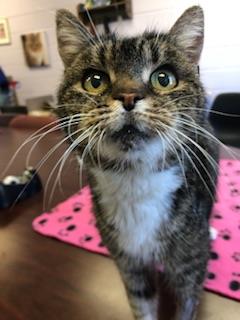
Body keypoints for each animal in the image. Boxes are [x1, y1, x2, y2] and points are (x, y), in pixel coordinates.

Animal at [55, 6, 218, 320]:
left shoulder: (190, 267)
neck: (135, 181)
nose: (128, 95)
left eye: (164, 78)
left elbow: (186, 305)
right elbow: (141, 303)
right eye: (95, 81)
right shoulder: (128, 263)